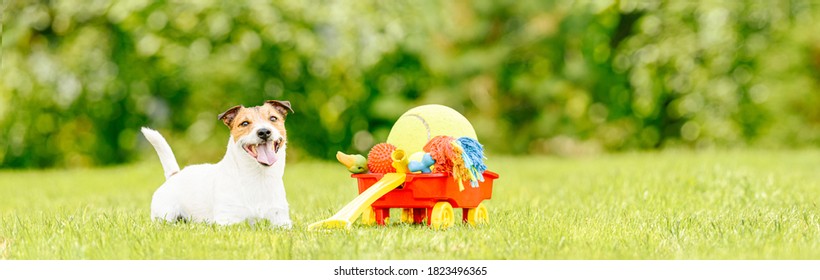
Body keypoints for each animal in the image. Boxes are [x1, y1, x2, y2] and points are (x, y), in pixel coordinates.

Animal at [142, 100, 294, 228]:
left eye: (273, 118)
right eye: (245, 123)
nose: (264, 132)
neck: (257, 177)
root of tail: (174, 175)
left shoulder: (281, 221)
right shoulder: (226, 221)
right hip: (165, 214)